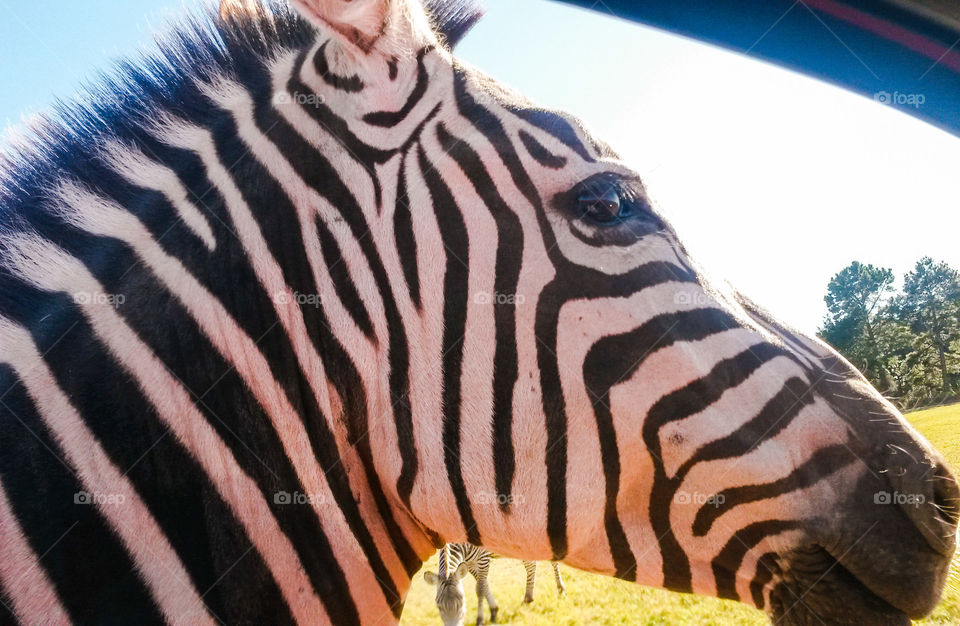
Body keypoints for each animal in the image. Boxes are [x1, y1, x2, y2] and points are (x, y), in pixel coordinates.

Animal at [424, 540, 568, 624]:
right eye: (439, 606)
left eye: (462, 603)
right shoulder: (469, 564)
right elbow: (484, 585)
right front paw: (493, 610)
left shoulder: (483, 558)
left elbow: (480, 588)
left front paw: (480, 619)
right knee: (531, 565)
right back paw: (528, 598)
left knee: (550, 560)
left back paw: (560, 590)